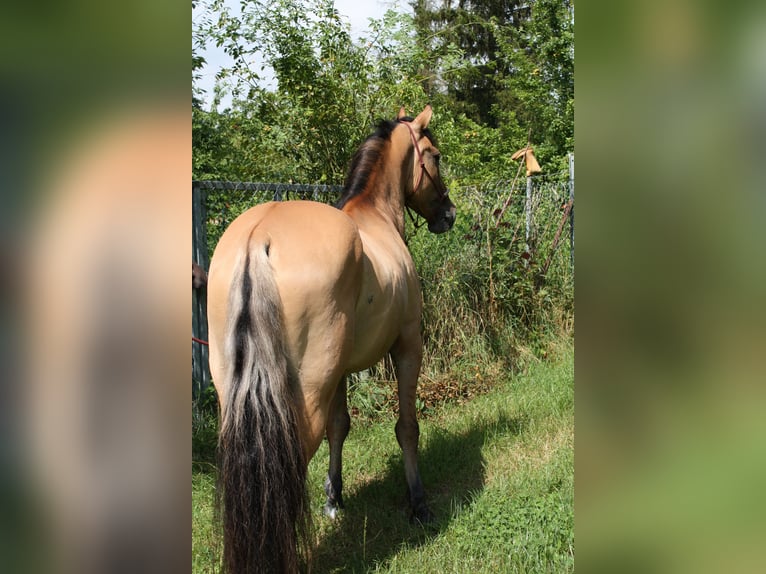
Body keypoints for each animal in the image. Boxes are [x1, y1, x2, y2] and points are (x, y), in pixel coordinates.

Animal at [207, 106, 456, 572]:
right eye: (434, 154)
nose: (448, 214)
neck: (375, 216)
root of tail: (259, 237)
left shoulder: (340, 370)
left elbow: (339, 428)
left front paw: (333, 498)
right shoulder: (408, 346)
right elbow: (407, 428)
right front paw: (418, 503)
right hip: (307, 390)